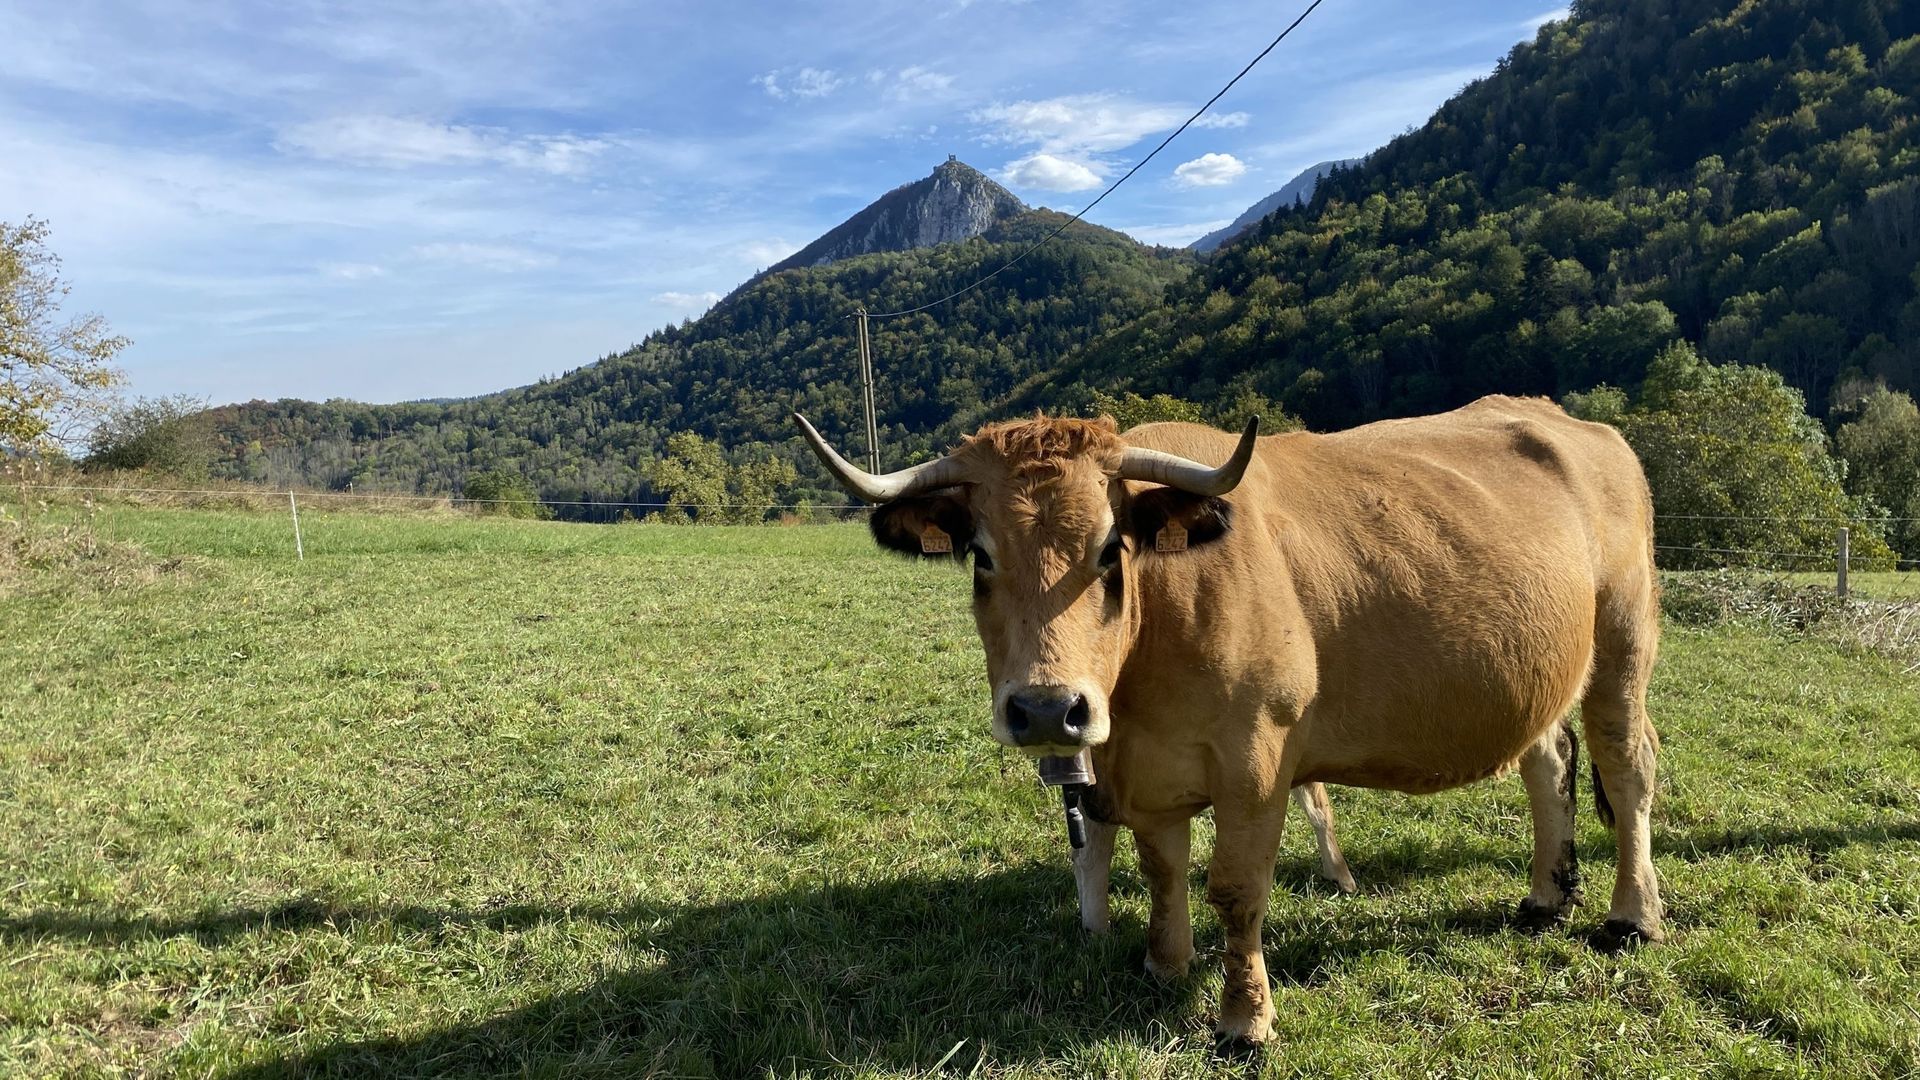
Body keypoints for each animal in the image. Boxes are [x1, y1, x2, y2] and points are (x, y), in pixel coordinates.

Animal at [794, 395, 1666, 1045]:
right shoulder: (1144, 773)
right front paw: (1164, 964)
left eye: (1110, 551)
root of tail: (1578, 425)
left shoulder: (1256, 763)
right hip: (1539, 670)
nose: (1046, 707)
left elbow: (1236, 890)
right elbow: (1163, 870)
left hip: (1623, 644)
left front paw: (1244, 1019)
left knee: (1626, 769)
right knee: (1548, 760)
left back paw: (1632, 916)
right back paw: (1545, 897)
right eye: (980, 555)